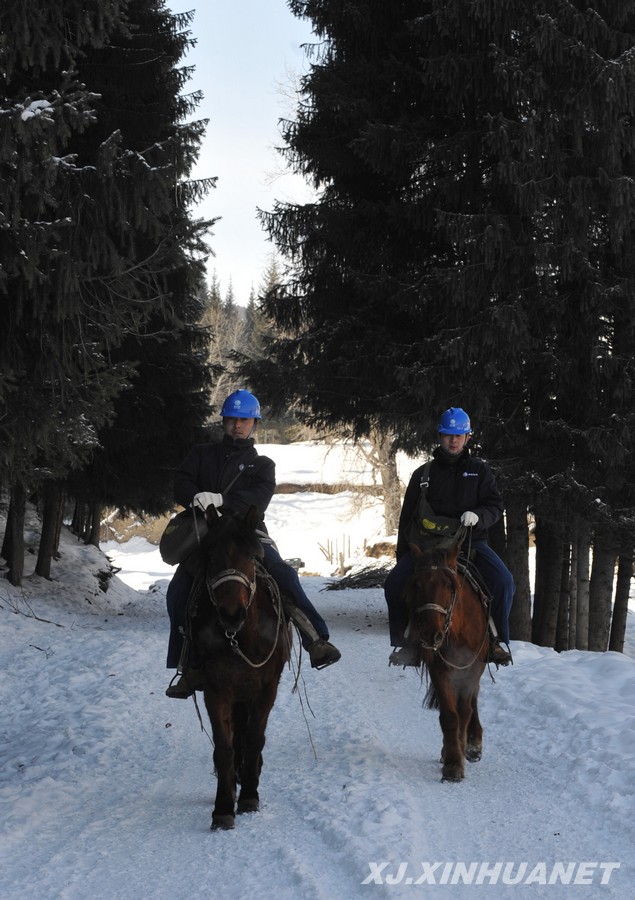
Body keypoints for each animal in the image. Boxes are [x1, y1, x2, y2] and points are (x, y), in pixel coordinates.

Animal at [186, 506, 290, 828]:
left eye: (251, 556)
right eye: (211, 557)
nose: (231, 614)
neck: (240, 638)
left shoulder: (267, 688)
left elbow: (255, 739)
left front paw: (249, 797)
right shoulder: (216, 689)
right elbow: (224, 746)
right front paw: (223, 807)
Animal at [404, 536, 490, 780]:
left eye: (450, 586)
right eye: (416, 585)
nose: (431, 635)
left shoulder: (473, 669)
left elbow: (464, 711)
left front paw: (461, 751)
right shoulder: (439, 669)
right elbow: (450, 716)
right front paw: (452, 761)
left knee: (472, 702)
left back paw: (473, 743)